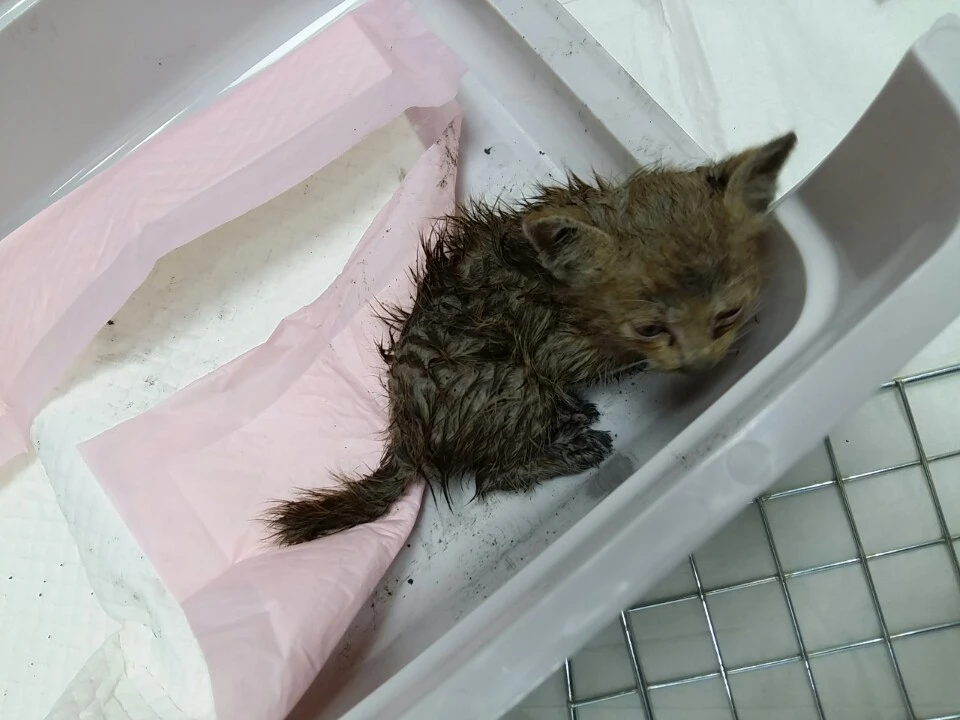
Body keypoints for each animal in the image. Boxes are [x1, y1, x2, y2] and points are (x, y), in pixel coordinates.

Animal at [265, 131, 796, 545]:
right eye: (649, 328)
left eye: (727, 314)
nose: (701, 362)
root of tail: (404, 430)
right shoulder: (554, 347)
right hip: (509, 385)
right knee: (492, 473)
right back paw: (572, 443)